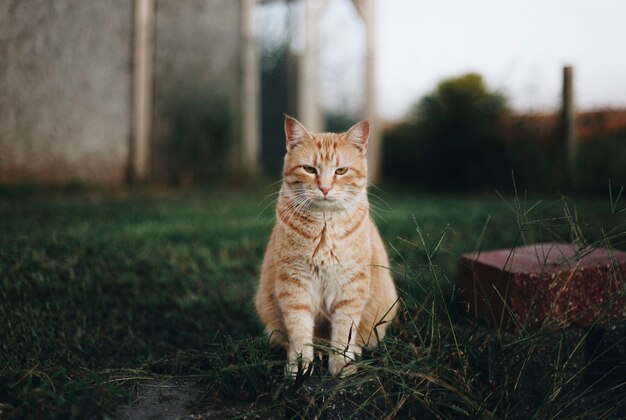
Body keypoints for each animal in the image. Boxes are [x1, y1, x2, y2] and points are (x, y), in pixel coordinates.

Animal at [254, 115, 394, 378]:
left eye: (341, 171)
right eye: (309, 169)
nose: (325, 188)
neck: (324, 227)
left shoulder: (351, 286)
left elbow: (344, 331)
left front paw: (341, 363)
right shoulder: (294, 285)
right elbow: (299, 332)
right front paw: (299, 365)